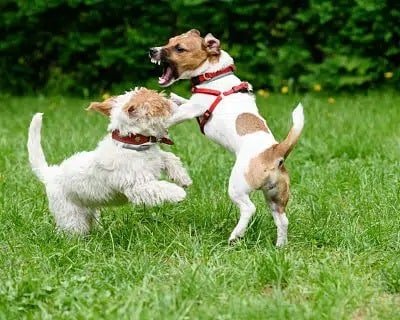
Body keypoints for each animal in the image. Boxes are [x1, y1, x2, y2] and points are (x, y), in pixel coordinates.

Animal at [27, 89, 192, 234]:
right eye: (160, 103)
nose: (176, 102)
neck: (133, 144)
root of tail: (51, 174)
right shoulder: (136, 186)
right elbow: (159, 187)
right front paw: (178, 193)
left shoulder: (156, 159)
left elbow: (169, 158)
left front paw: (183, 178)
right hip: (71, 216)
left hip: (90, 211)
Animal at [149, 29, 304, 245]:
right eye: (169, 41)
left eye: (179, 48)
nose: (151, 50)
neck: (213, 75)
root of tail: (275, 152)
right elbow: (180, 101)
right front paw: (173, 97)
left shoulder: (191, 110)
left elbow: (171, 115)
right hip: (275, 197)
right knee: (283, 220)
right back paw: (280, 246)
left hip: (237, 187)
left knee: (249, 208)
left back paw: (235, 235)